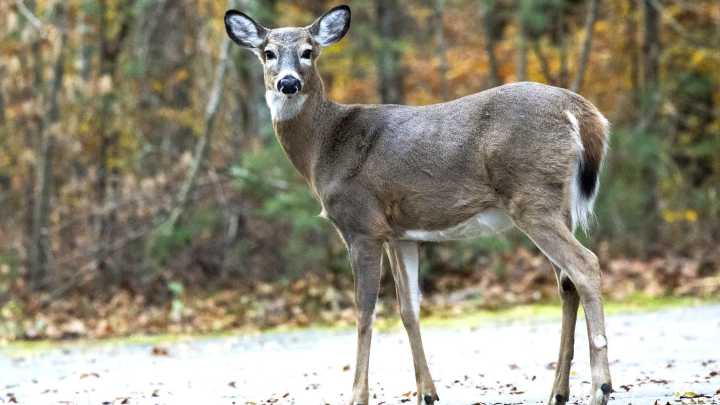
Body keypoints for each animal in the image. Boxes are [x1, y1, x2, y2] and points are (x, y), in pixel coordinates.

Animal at [224, 4, 612, 405]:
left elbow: (364, 311)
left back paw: (601, 386)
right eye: (268, 53)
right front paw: (428, 392)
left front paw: (357, 395)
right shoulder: (400, 233)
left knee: (585, 265)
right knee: (566, 282)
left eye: (308, 51)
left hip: (531, 197)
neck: (323, 147)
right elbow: (409, 307)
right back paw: (559, 392)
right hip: (556, 204)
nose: (288, 83)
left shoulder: (362, 224)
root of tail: (583, 112)